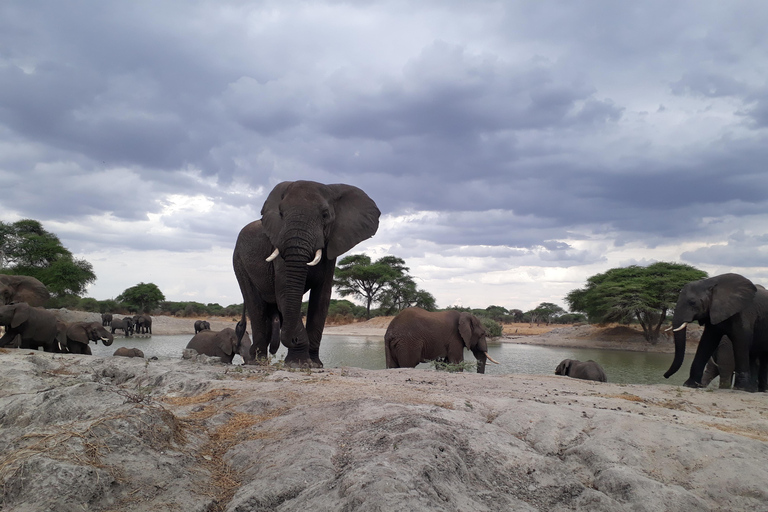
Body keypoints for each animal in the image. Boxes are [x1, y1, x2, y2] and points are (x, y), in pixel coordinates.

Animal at [232, 181, 380, 368]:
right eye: (281, 214)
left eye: (325, 215)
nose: (292, 339)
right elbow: (284, 291)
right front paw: (300, 364)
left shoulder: (330, 250)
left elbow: (322, 298)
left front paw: (315, 364)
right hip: (239, 262)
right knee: (256, 305)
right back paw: (256, 362)